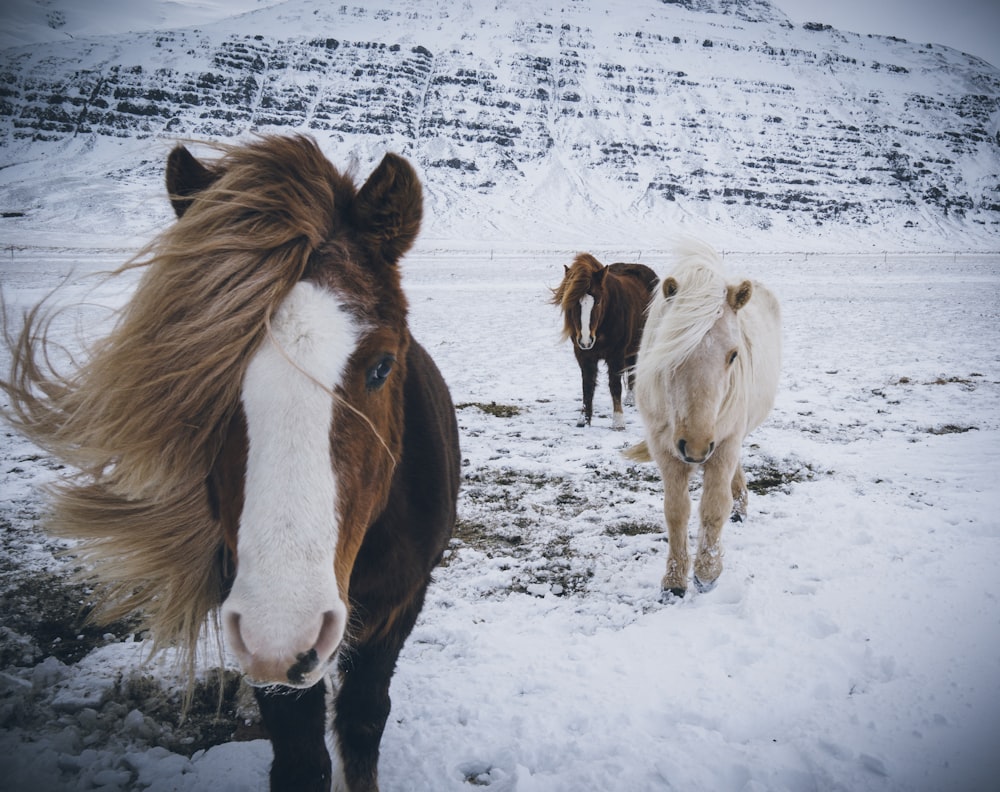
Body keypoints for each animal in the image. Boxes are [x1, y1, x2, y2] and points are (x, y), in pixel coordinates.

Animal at [0, 136, 460, 792]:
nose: (283, 631)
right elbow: (300, 757)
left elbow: (363, 721)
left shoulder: (401, 602)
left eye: (382, 365)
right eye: (207, 372)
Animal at [552, 254, 660, 430]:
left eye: (598, 301)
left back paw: (631, 401)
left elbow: (615, 386)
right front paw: (584, 420)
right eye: (573, 303)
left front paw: (618, 422)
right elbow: (587, 387)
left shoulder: (615, 355)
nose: (586, 340)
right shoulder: (583, 356)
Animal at [624, 241, 780, 600]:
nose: (695, 447)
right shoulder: (665, 450)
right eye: (672, 351)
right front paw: (674, 581)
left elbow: (713, 506)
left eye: (733, 355)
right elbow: (676, 511)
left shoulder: (723, 443)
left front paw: (707, 573)